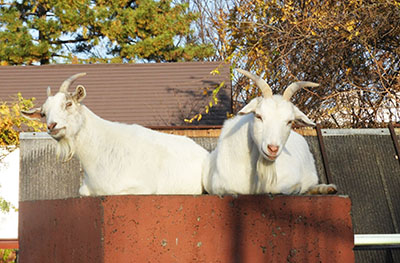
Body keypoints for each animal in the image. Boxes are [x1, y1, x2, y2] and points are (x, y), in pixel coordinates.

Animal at [203, 69, 338, 197]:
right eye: (258, 116)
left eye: (290, 121)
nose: (273, 148)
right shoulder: (219, 186)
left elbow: (290, 187)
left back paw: (327, 188)